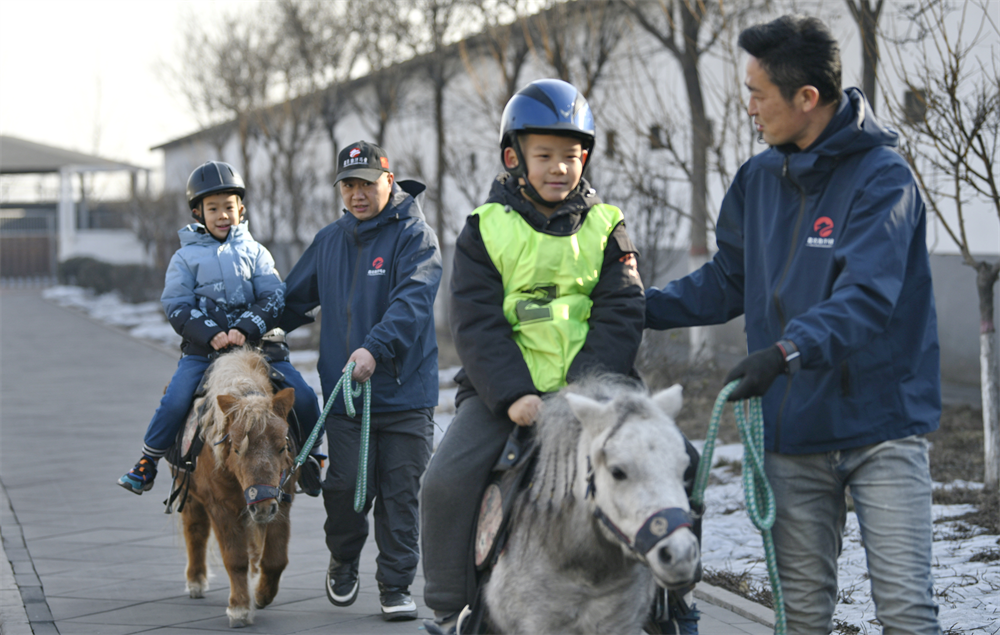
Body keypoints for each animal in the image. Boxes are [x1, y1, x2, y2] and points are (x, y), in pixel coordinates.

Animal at [172, 347, 298, 628]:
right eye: (237, 449)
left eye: (282, 447)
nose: (261, 506)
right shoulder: (220, 506)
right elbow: (235, 559)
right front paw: (240, 609)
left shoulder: (281, 502)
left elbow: (275, 559)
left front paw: (261, 595)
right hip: (188, 494)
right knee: (195, 530)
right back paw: (195, 581)